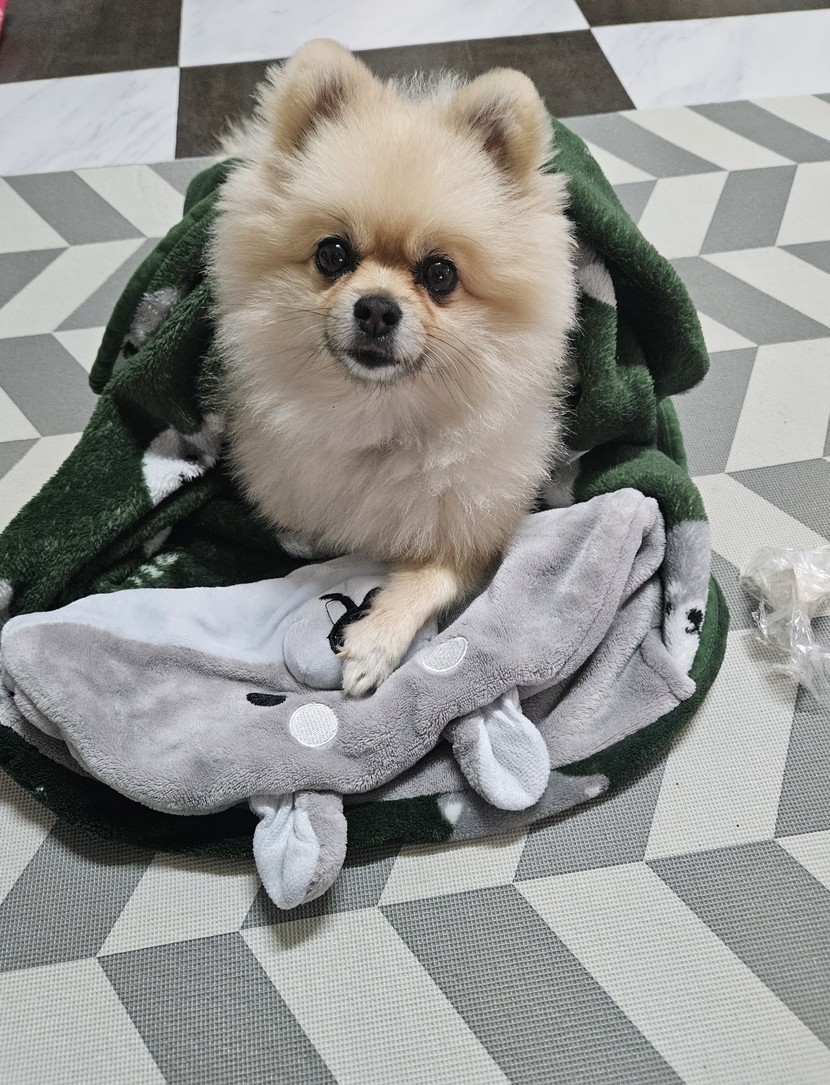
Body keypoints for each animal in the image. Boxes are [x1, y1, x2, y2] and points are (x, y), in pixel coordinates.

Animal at [210, 39, 577, 696]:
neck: (378, 415)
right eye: (333, 254)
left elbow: (437, 572)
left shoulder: (478, 518)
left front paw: (376, 639)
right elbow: (297, 527)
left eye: (440, 273)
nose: (377, 307)